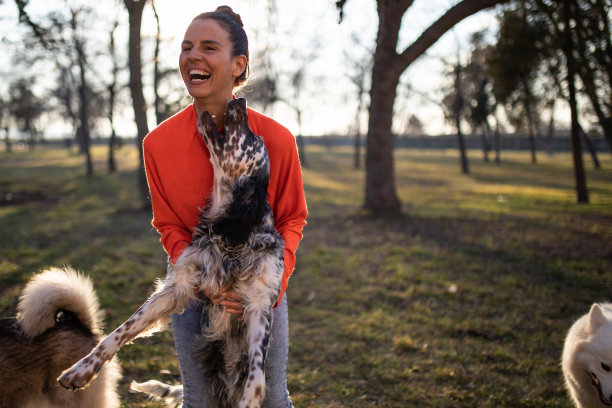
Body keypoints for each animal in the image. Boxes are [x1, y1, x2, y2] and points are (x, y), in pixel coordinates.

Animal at [58, 99, 286, 408]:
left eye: (253, 141)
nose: (239, 101)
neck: (234, 234)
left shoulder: (258, 304)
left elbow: (257, 380)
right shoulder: (178, 287)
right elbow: (120, 331)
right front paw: (81, 370)